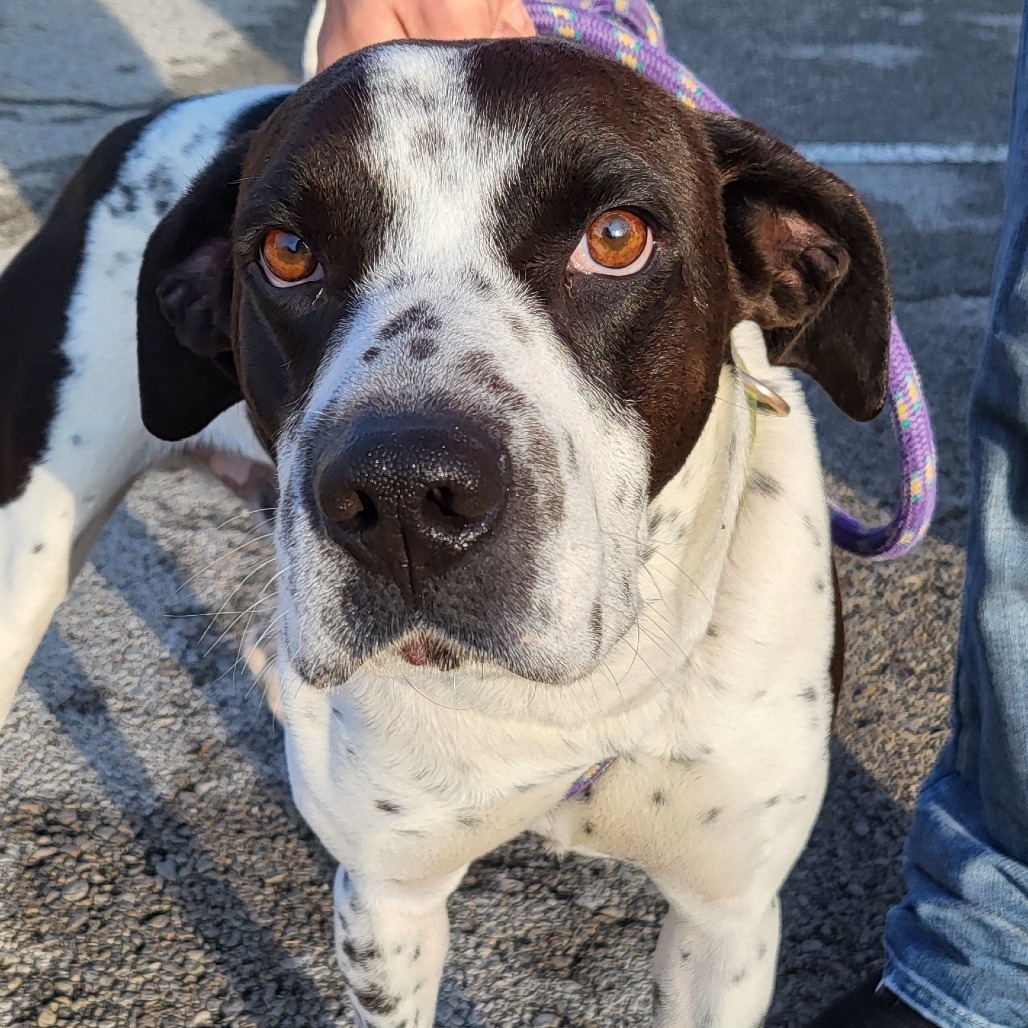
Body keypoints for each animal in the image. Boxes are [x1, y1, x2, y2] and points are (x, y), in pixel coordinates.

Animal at [0, 38, 888, 1028]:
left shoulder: (726, 918)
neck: (570, 703)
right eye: (287, 252)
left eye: (617, 237)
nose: (402, 496)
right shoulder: (390, 901)